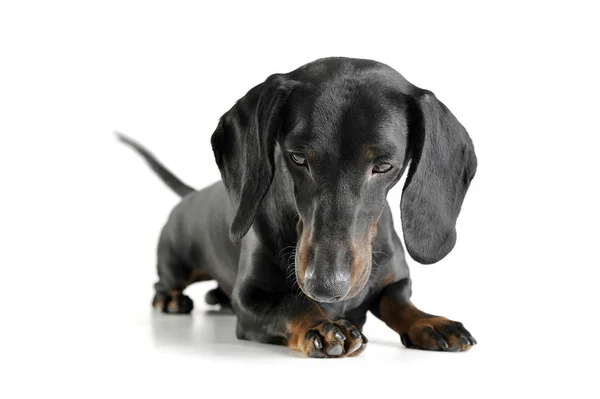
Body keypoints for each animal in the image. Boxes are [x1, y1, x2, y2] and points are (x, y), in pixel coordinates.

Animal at [119, 57, 480, 360]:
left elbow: (399, 303)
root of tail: (190, 196)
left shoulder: (396, 281)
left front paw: (430, 321)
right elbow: (290, 305)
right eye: (297, 157)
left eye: (382, 165)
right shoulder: (250, 299)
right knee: (164, 283)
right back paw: (171, 298)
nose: (325, 287)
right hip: (176, 263)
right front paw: (321, 325)